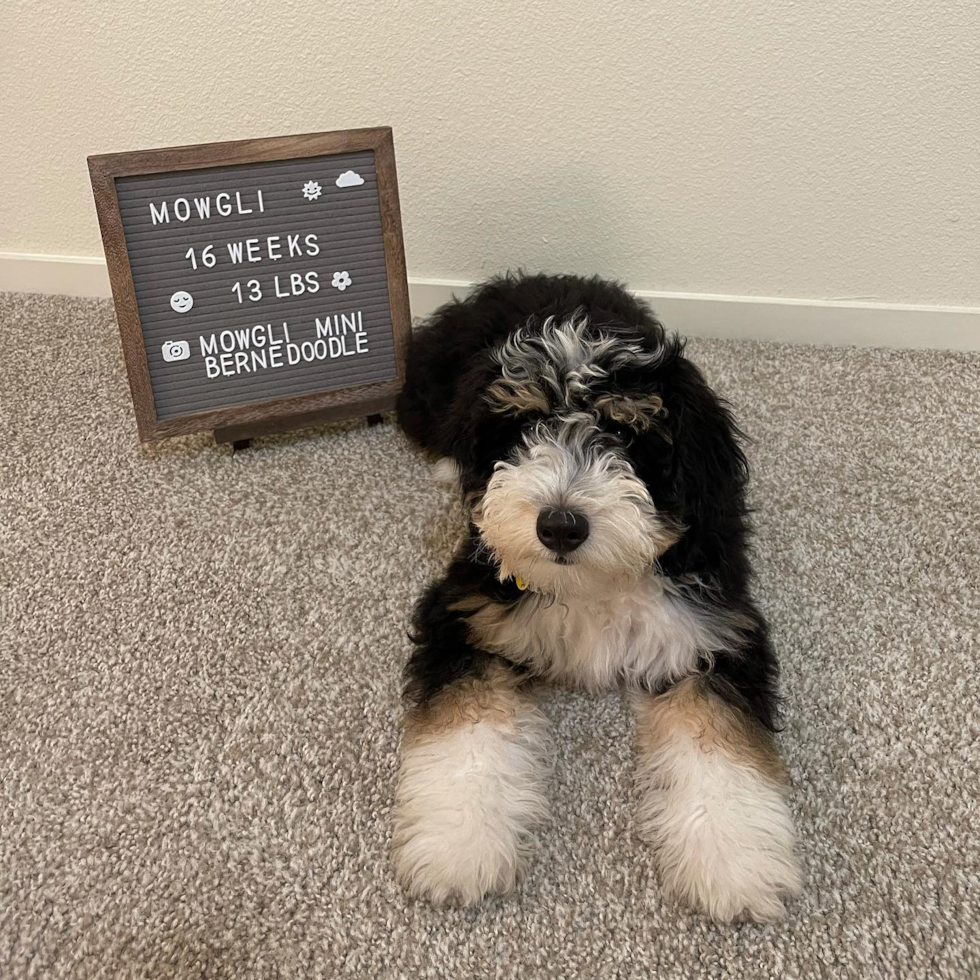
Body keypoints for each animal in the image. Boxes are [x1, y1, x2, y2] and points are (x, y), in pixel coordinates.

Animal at [390, 274, 804, 920]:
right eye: (524, 426)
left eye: (625, 432)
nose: (560, 527)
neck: (595, 581)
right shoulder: (466, 615)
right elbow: (467, 729)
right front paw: (457, 846)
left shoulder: (714, 629)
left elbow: (719, 744)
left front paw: (733, 861)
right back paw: (450, 471)